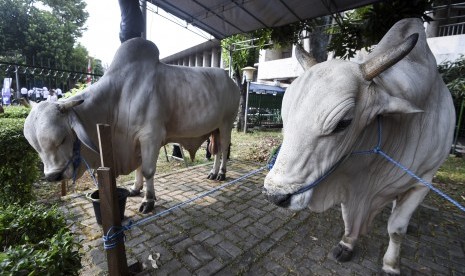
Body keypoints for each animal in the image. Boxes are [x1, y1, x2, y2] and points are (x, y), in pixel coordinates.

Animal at [22, 36, 239, 213]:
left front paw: (148, 200)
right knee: (216, 150)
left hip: (227, 123)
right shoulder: (135, 141)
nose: (53, 176)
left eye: (62, 138)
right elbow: (139, 167)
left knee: (223, 149)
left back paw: (221, 173)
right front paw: (135, 189)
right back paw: (212, 172)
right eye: (35, 147)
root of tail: (232, 82)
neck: (118, 95)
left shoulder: (150, 136)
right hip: (215, 128)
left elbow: (148, 169)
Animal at [262, 18, 454, 274]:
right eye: (285, 113)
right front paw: (347, 244)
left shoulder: (422, 181)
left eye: (344, 122)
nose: (275, 195)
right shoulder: (351, 183)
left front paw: (391, 265)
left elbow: (396, 229)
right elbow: (348, 218)